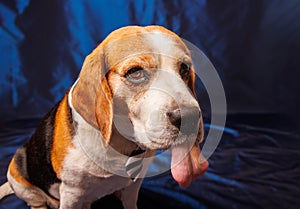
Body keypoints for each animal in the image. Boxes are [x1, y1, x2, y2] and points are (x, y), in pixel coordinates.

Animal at [0, 25, 209, 208]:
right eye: (135, 72)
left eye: (184, 68)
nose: (191, 118)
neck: (123, 146)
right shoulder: (71, 194)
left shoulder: (134, 185)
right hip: (19, 177)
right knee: (36, 202)